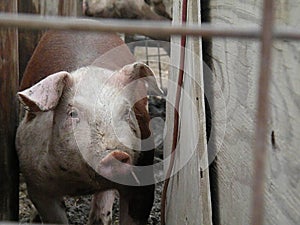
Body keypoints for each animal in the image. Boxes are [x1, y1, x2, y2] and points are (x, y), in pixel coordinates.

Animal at [16, 30, 162, 225]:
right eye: (73, 114)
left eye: (127, 111)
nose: (116, 154)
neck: (83, 183)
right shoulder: (37, 184)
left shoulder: (142, 179)